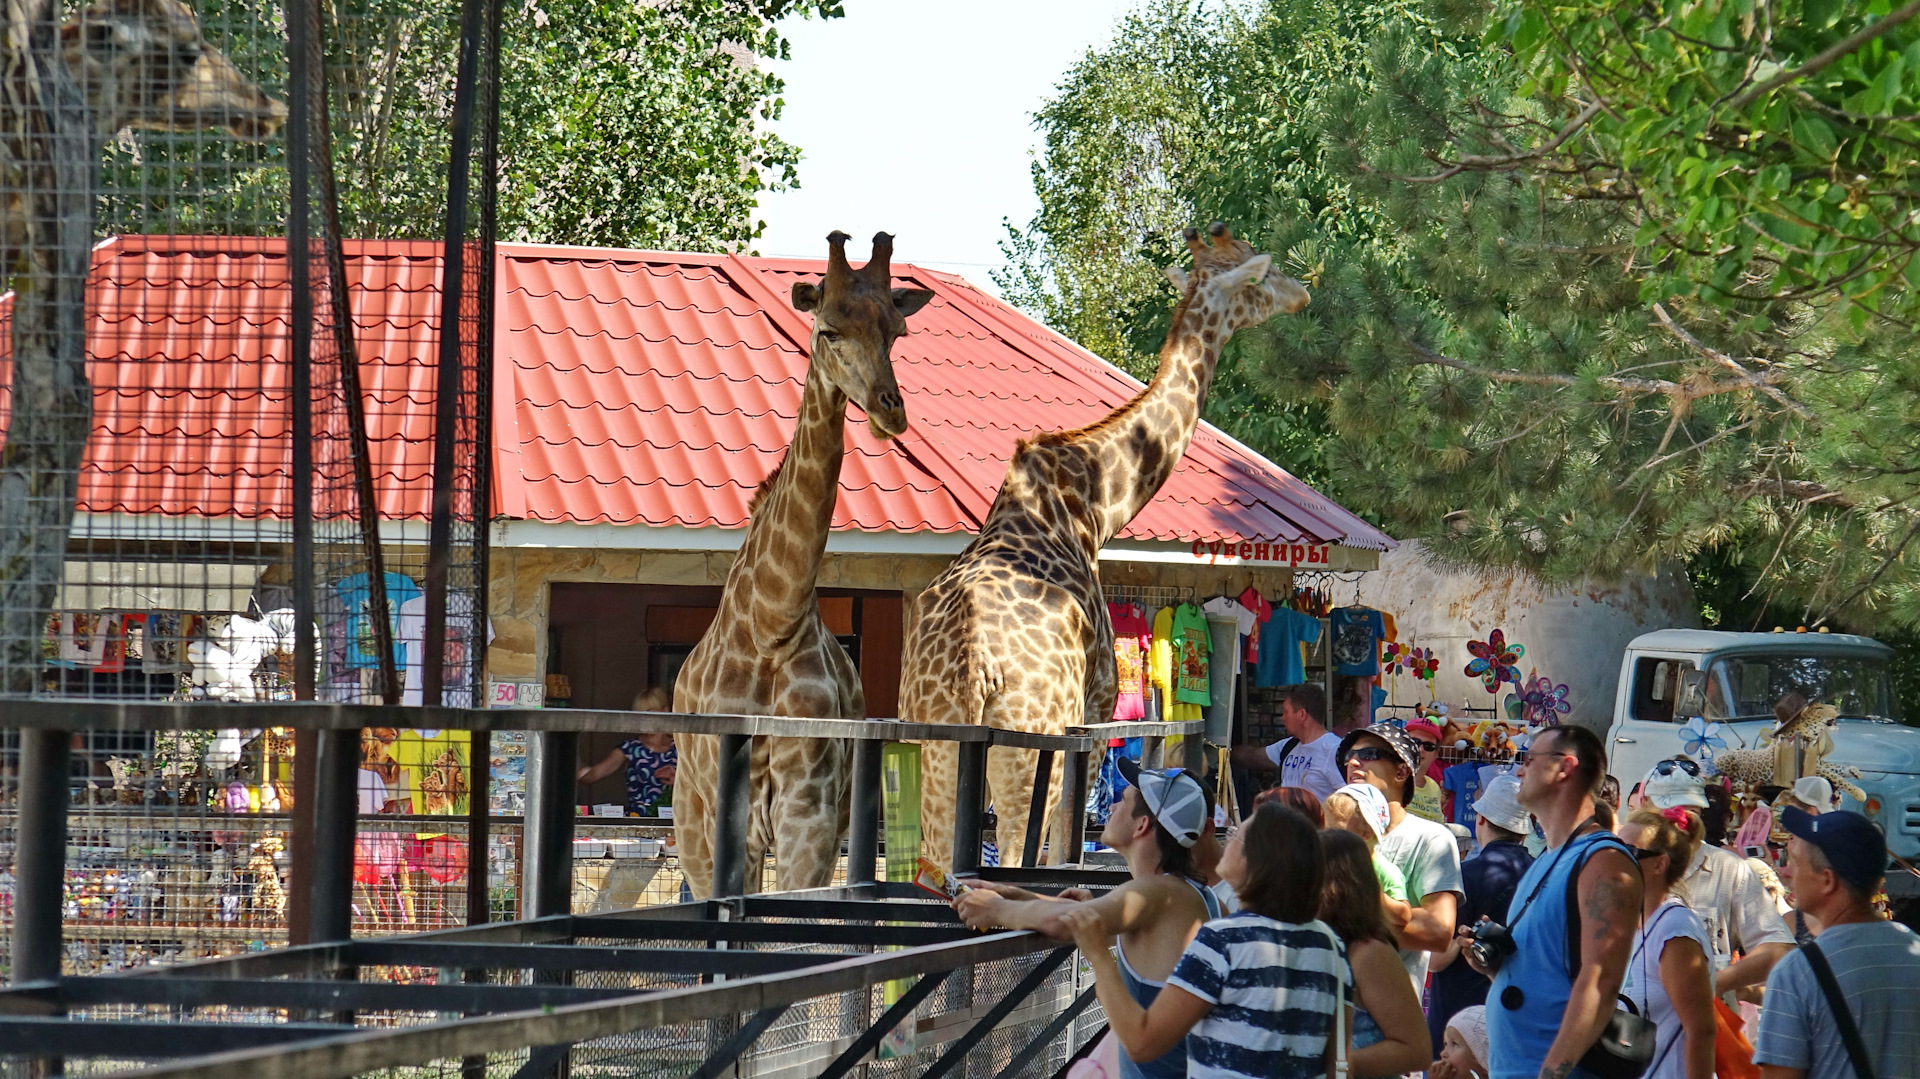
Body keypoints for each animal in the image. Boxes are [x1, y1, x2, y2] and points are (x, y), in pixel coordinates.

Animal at [671, 231, 933, 898]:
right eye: (830, 330)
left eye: (897, 331)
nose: (891, 411)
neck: (772, 622)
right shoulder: (729, 816)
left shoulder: (808, 813)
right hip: (688, 818)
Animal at [899, 222, 1309, 870]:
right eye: (1260, 273)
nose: (1303, 294)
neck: (1095, 505)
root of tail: (970, 663)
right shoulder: (1093, 719)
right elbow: (1063, 851)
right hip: (1023, 747)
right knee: (1005, 855)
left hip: (931, 744)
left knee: (934, 864)